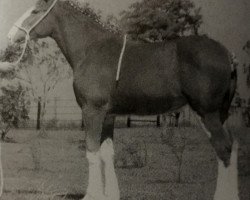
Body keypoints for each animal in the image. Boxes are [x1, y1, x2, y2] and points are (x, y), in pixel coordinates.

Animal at [7, 0, 238, 200]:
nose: (10, 36)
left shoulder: (92, 111)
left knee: (224, 149)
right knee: (231, 148)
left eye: (35, 11)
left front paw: (91, 195)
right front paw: (110, 194)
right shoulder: (108, 115)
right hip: (219, 113)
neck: (90, 49)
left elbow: (92, 151)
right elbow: (107, 153)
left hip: (207, 112)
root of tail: (228, 55)